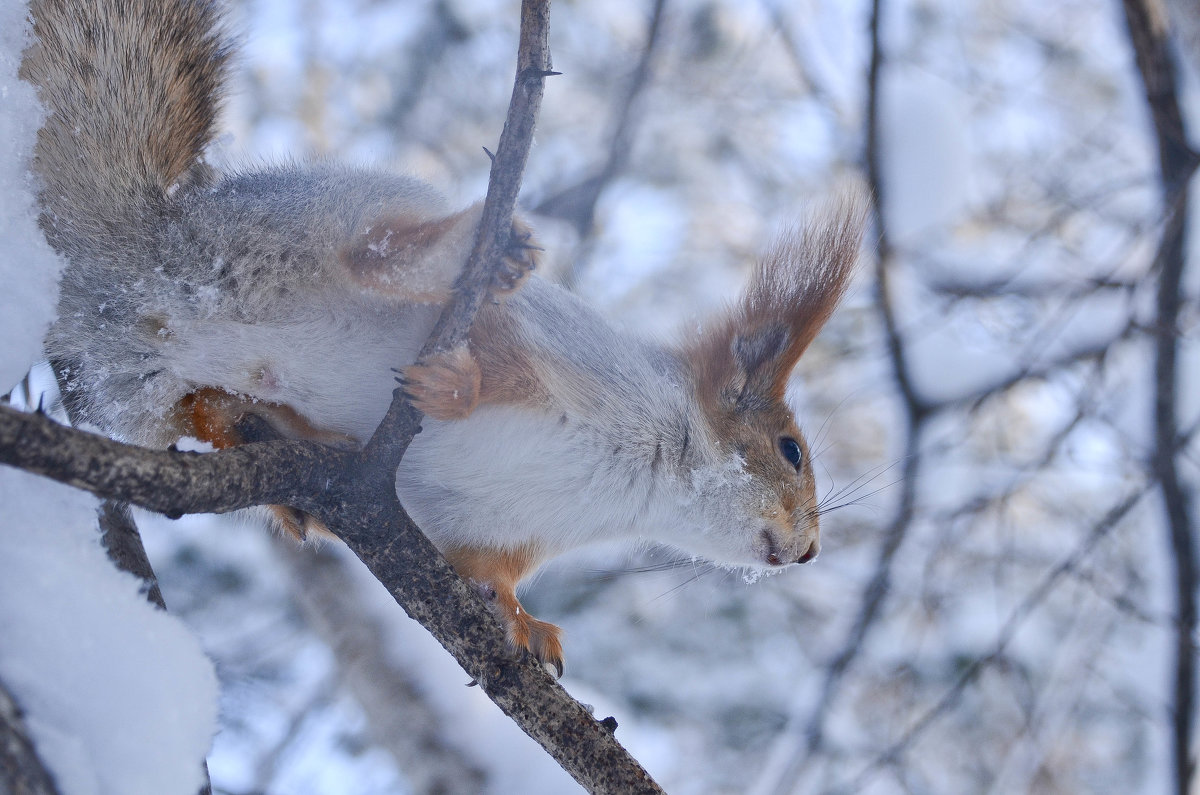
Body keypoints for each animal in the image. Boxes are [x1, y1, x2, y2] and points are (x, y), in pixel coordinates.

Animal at [23, 0, 868, 677]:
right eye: (791, 450)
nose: (810, 551)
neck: (646, 479)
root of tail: (142, 266)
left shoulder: (499, 528)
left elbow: (491, 575)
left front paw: (526, 623)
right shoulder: (554, 348)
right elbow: (495, 354)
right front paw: (456, 388)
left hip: (157, 378)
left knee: (195, 403)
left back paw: (266, 445)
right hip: (318, 218)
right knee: (368, 254)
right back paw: (460, 253)